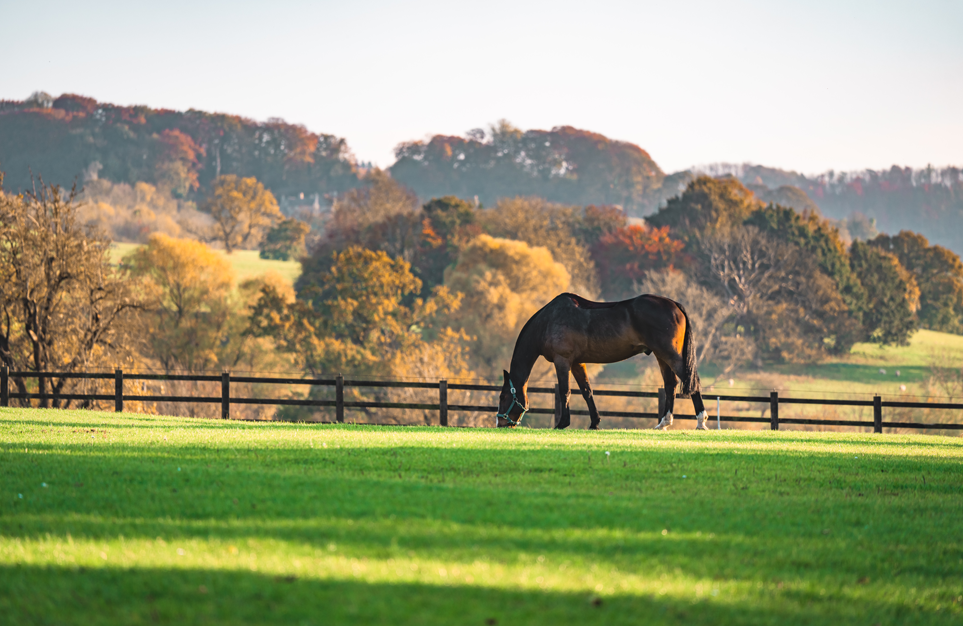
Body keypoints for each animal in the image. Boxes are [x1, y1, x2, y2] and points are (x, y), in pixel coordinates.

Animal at [495, 292, 709, 430]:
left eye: (503, 397)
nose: (500, 423)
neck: (548, 321)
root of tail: (674, 304)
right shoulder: (577, 363)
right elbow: (587, 391)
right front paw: (594, 423)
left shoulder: (562, 361)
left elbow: (565, 391)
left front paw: (562, 423)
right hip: (661, 355)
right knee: (670, 384)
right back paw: (664, 423)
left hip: (669, 354)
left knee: (690, 381)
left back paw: (701, 421)